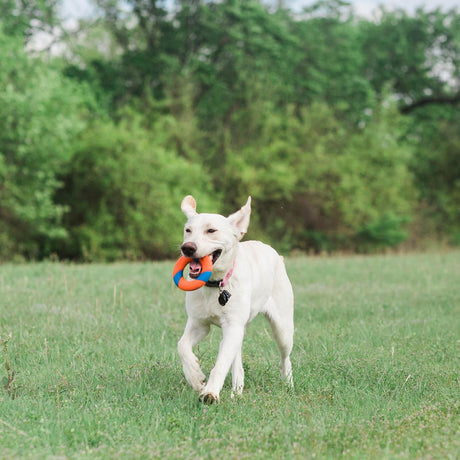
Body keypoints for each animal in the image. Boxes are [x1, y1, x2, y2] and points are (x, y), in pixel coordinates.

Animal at [176, 195, 294, 402]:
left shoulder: (232, 327)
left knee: (285, 357)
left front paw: (210, 393)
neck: (216, 285)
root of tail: (276, 254)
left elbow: (221, 363)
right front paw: (196, 378)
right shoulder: (199, 324)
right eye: (188, 230)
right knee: (236, 359)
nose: (187, 248)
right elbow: (182, 346)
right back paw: (237, 389)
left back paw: (288, 383)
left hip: (283, 329)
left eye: (211, 230)